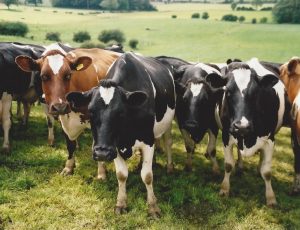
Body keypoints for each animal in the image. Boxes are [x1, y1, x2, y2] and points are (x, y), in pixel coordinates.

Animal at [15, 46, 121, 180]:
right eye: (44, 76)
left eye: (68, 75)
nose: (60, 106)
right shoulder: (64, 120)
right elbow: (70, 145)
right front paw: (69, 167)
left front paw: (101, 172)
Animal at [66, 52, 176, 217]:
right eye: (90, 112)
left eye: (120, 113)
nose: (102, 153)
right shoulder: (114, 145)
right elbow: (122, 175)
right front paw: (121, 203)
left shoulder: (148, 140)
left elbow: (147, 176)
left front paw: (153, 207)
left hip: (167, 123)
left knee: (167, 141)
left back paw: (168, 166)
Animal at [214, 58, 290, 207]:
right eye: (228, 91)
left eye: (256, 93)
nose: (241, 126)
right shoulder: (226, 135)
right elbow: (228, 165)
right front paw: (224, 189)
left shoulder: (270, 140)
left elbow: (267, 172)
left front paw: (271, 198)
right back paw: (240, 166)